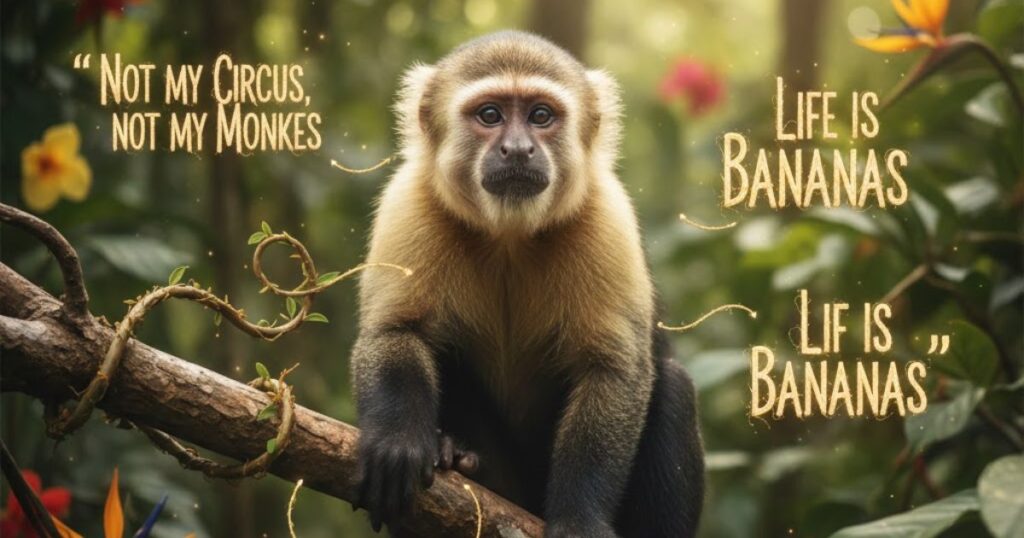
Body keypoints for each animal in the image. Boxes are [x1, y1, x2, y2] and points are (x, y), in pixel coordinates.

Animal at [350, 31, 704, 538]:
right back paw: (457, 454)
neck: (509, 237)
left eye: (540, 116)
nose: (517, 149)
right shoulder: (410, 200)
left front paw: (579, 519)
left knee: (673, 385)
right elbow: (397, 331)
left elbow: (613, 371)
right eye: (490, 115)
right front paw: (398, 441)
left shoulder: (607, 216)